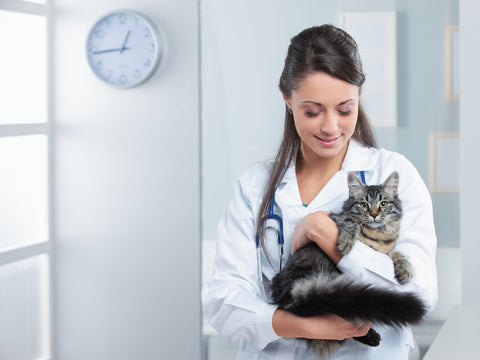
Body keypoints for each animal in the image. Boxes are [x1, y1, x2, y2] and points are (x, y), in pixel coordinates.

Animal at [272, 172, 426, 358]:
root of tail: (293, 297)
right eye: (364, 204)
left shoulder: (386, 251)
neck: (378, 234)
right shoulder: (336, 218)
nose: (374, 214)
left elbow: (398, 253)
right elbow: (350, 221)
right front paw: (346, 241)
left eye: (383, 204)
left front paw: (405, 268)